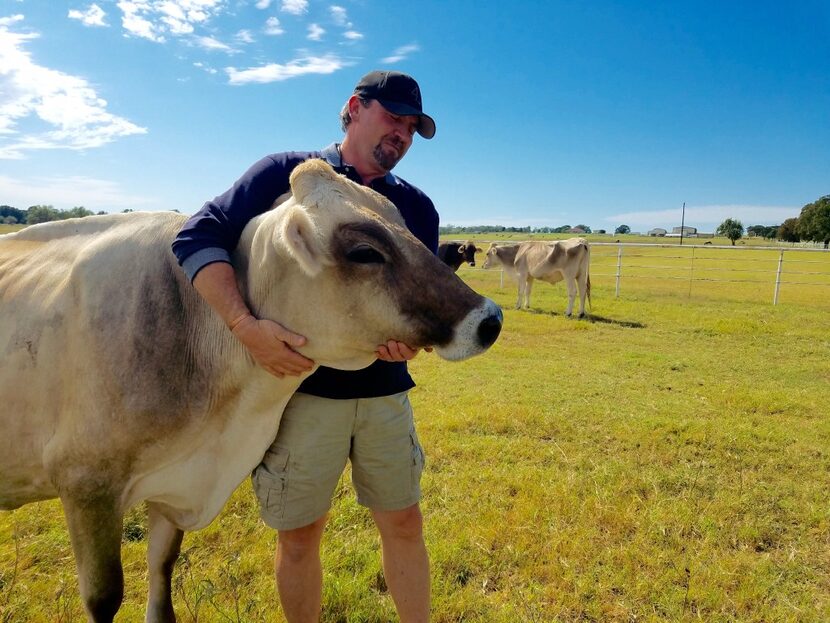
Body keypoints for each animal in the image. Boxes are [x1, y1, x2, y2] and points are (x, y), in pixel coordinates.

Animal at [0, 160, 504, 623]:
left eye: (407, 226)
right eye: (365, 251)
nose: (490, 319)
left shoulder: (174, 491)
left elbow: (162, 572)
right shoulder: (86, 484)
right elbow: (104, 598)